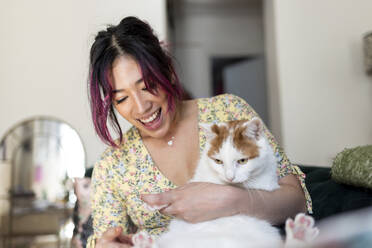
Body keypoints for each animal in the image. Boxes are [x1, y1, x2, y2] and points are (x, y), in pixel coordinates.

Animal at [135, 118, 318, 248]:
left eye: (242, 161)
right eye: (218, 161)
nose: (230, 177)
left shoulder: (265, 183)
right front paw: (154, 203)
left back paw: (299, 234)